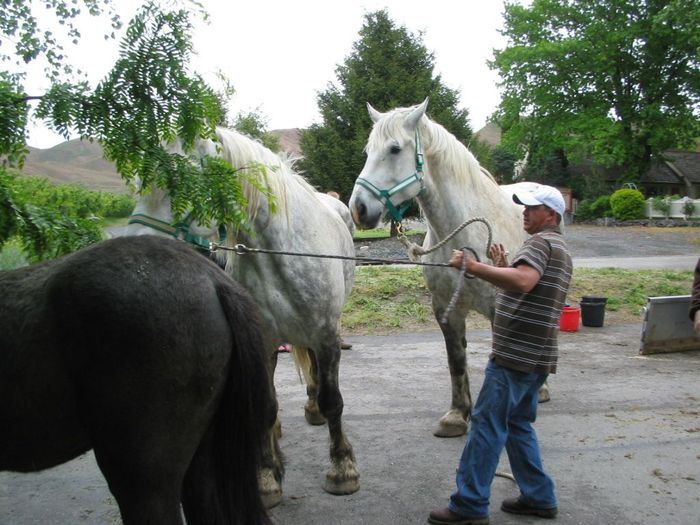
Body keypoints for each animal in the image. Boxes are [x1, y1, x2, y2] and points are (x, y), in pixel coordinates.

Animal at [124, 127, 360, 504]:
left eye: (182, 180)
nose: (133, 251)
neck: (281, 251)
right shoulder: (262, 342)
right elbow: (266, 407)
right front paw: (266, 476)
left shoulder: (325, 335)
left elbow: (332, 400)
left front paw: (342, 468)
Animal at [348, 100, 540, 436]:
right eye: (367, 150)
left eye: (395, 149)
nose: (358, 209)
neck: (463, 233)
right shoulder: (445, 309)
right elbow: (456, 360)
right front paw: (457, 415)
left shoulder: (497, 307)